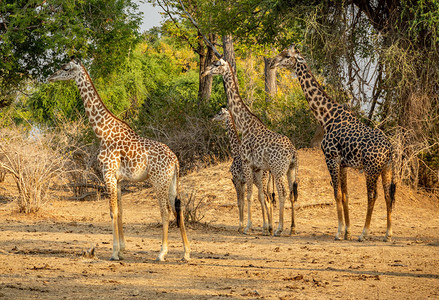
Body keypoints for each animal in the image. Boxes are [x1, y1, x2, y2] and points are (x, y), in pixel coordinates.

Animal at [47, 57, 190, 262]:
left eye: (65, 67)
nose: (50, 77)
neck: (102, 131)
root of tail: (175, 161)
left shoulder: (108, 174)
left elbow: (112, 211)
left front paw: (114, 253)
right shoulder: (119, 179)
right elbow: (121, 211)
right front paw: (122, 250)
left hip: (158, 181)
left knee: (165, 211)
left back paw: (162, 253)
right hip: (171, 183)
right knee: (178, 209)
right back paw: (186, 253)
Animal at [205, 59, 300, 237]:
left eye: (216, 64)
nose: (206, 71)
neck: (244, 124)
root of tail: (293, 151)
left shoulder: (247, 164)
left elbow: (247, 196)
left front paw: (247, 227)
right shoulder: (257, 168)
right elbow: (259, 196)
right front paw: (263, 226)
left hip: (277, 170)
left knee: (282, 193)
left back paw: (278, 229)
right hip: (290, 169)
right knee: (291, 193)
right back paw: (292, 228)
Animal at [272, 44, 398, 241]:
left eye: (286, 55)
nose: (272, 63)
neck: (326, 117)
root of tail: (390, 149)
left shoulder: (331, 158)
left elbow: (336, 193)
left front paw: (339, 232)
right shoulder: (343, 163)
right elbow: (345, 194)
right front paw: (347, 231)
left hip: (371, 169)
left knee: (372, 195)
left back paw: (364, 233)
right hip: (386, 168)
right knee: (387, 196)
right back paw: (388, 234)